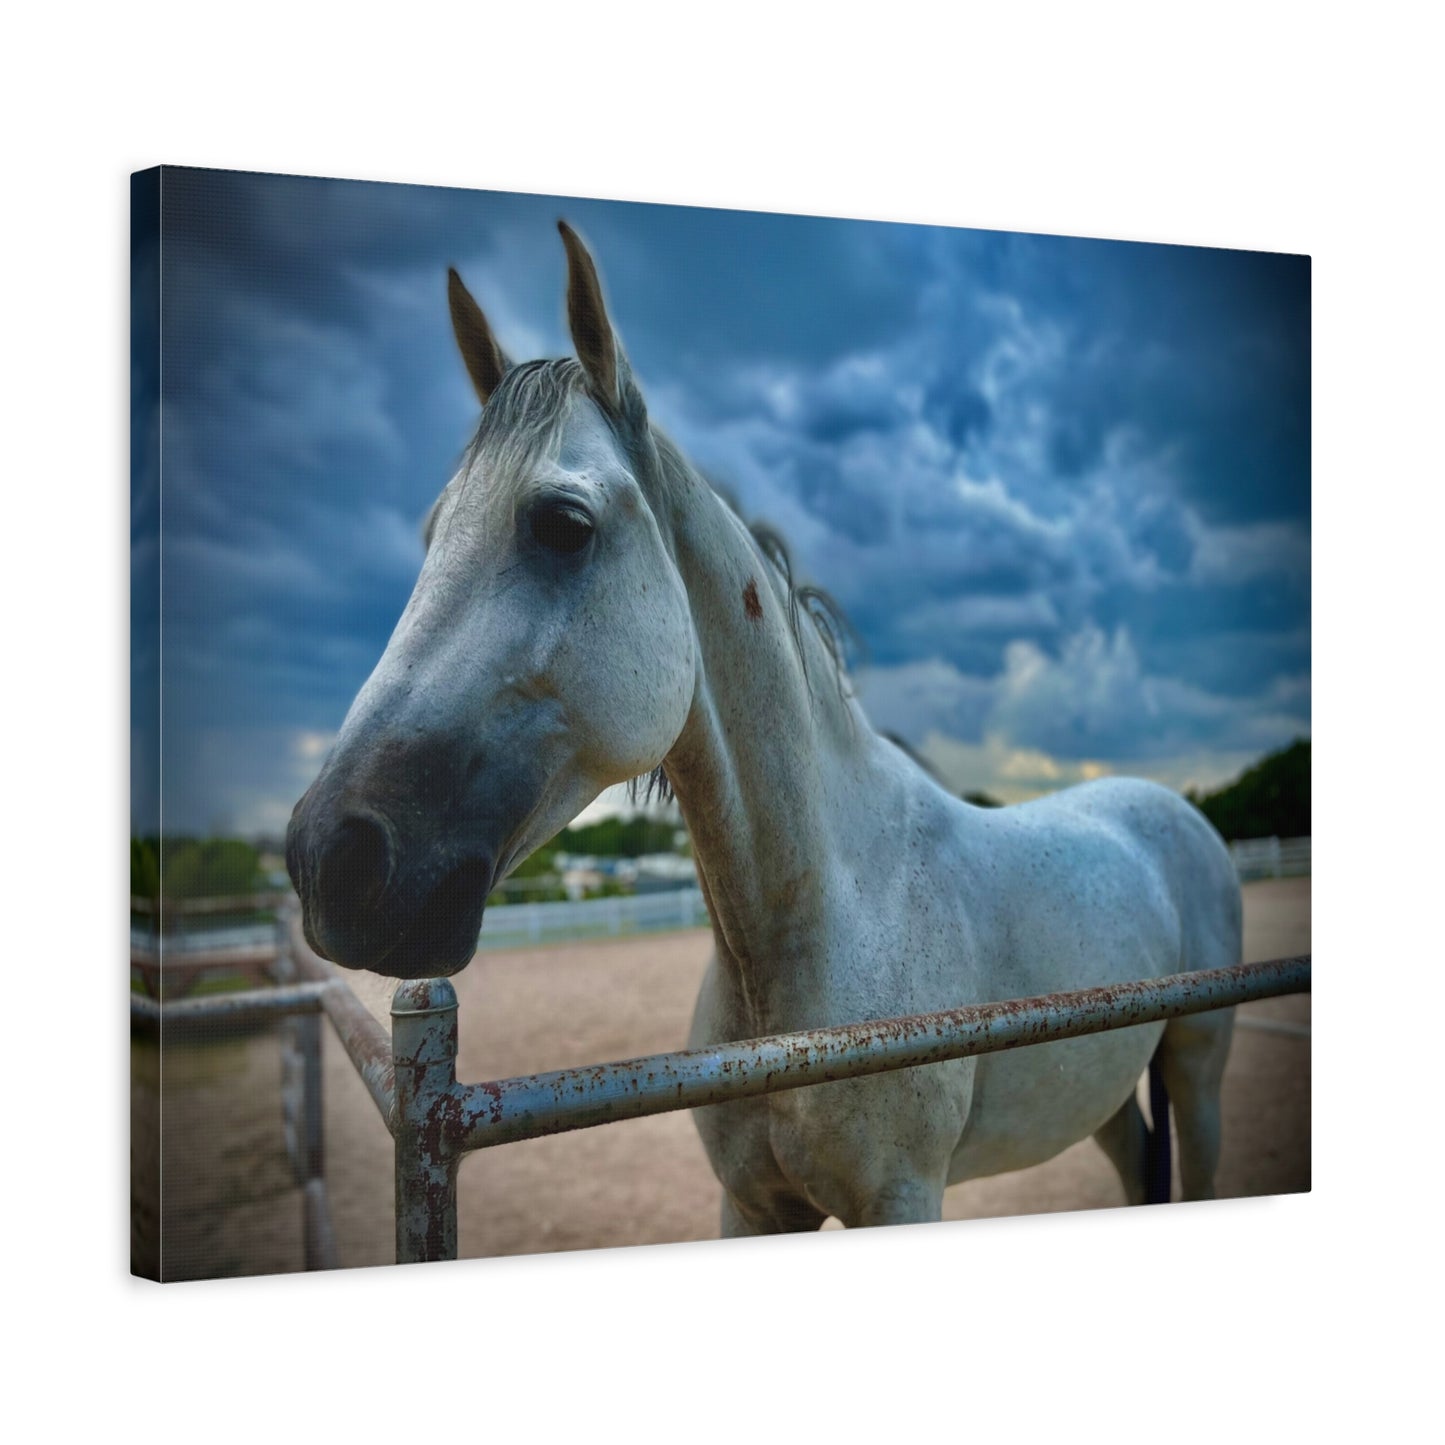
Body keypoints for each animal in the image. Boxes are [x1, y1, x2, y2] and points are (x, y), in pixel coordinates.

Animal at [287, 222, 1242, 1232]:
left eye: (563, 524)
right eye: (432, 534)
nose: (329, 857)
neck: (827, 916)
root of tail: (1172, 812)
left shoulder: (903, 1197)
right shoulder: (750, 1202)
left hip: (1197, 1062)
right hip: (1101, 1092)